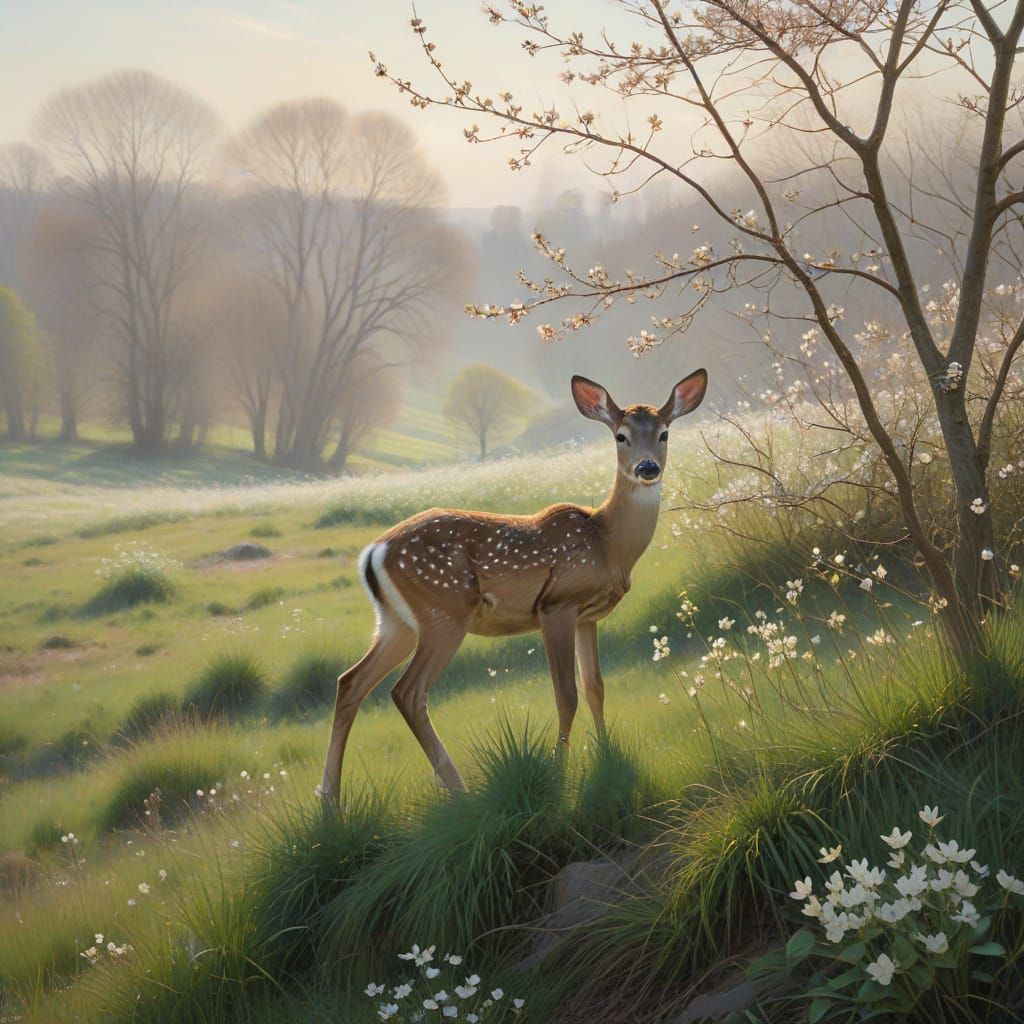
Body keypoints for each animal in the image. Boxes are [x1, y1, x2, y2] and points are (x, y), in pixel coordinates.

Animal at [318, 368, 708, 807]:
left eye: (664, 433)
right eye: (620, 436)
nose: (647, 468)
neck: (607, 542)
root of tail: (374, 552)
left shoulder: (587, 617)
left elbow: (595, 687)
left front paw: (606, 756)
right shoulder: (556, 605)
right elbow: (566, 694)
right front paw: (559, 772)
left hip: (396, 622)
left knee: (350, 682)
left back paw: (330, 801)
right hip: (444, 612)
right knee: (407, 692)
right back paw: (458, 787)